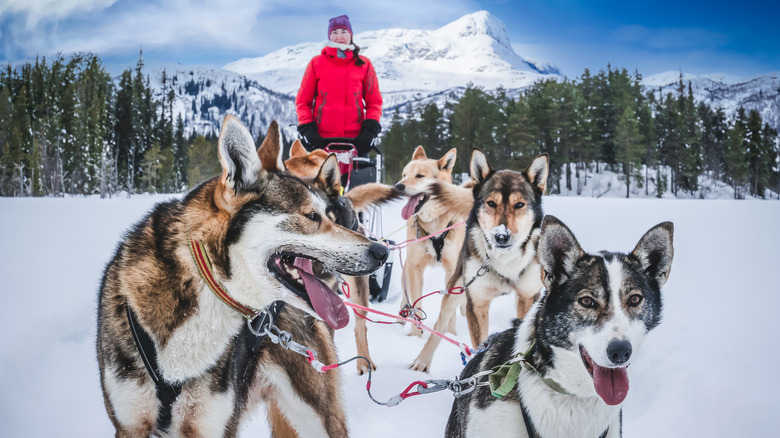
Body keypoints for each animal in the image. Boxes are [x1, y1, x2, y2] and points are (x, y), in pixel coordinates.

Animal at [97, 114, 390, 436]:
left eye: (329, 214)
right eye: (312, 216)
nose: (382, 251)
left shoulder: (210, 427)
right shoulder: (129, 426)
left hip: (317, 416)